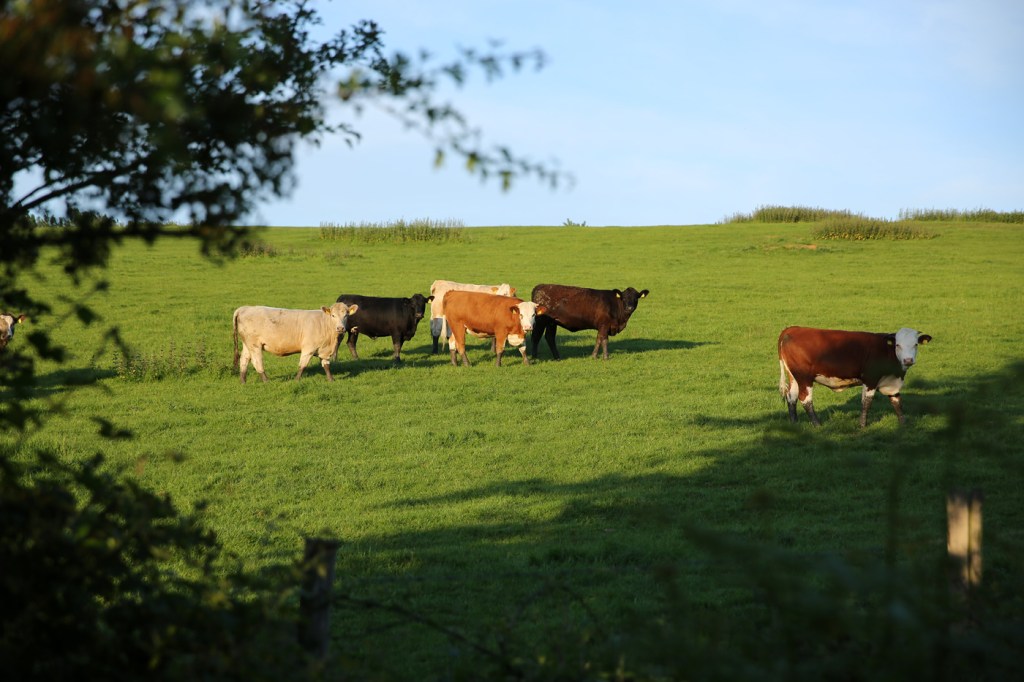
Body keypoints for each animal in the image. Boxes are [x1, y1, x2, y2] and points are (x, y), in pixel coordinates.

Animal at [778, 326, 932, 427]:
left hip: (794, 377)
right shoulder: (870, 379)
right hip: (804, 378)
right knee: (805, 399)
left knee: (791, 397)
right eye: (898, 345)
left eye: (915, 344)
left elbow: (897, 402)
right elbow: (866, 402)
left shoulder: (891, 383)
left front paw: (903, 424)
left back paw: (794, 423)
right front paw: (862, 425)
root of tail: (793, 329)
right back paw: (817, 424)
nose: (908, 360)